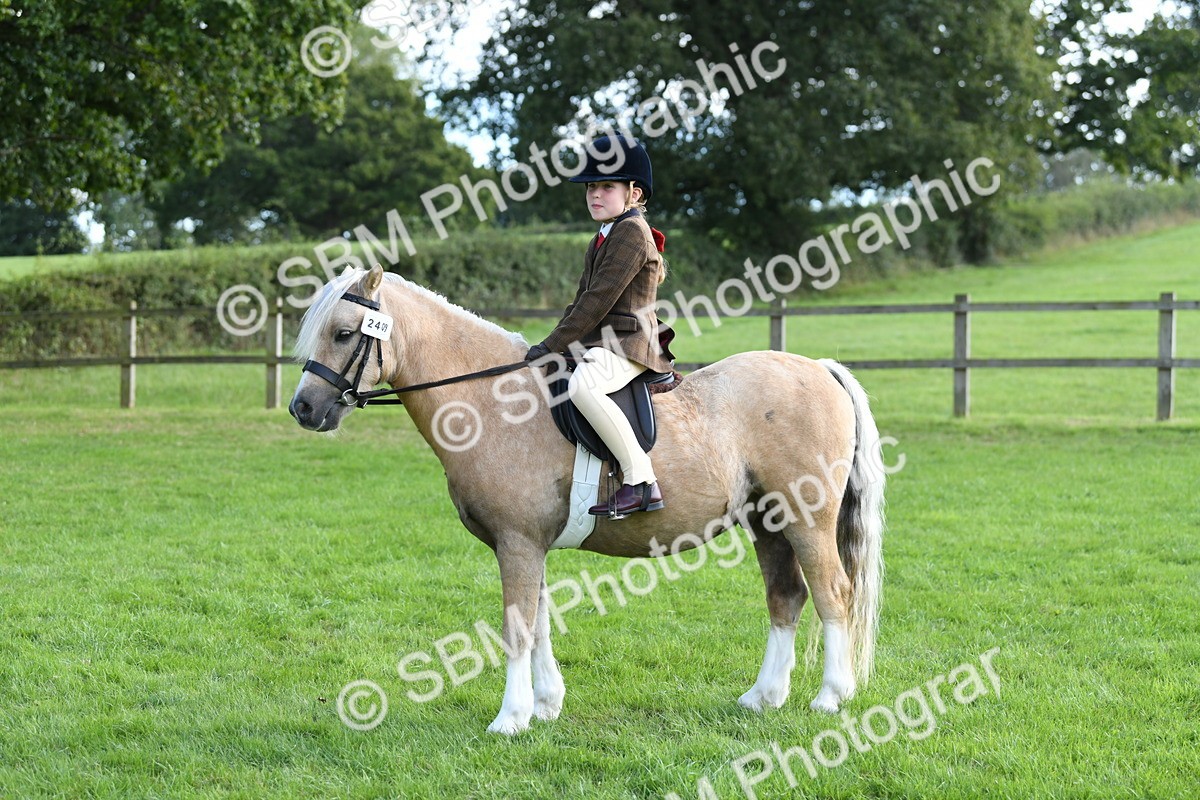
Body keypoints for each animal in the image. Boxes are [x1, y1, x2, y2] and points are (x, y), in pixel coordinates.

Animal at [288, 264, 886, 735]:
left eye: (344, 333)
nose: (303, 409)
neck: (490, 400)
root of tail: (819, 368)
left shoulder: (517, 542)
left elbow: (517, 627)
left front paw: (510, 718)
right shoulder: (526, 544)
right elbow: (540, 621)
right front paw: (545, 706)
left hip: (805, 519)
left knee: (833, 593)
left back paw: (830, 697)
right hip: (767, 521)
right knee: (786, 597)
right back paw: (763, 697)